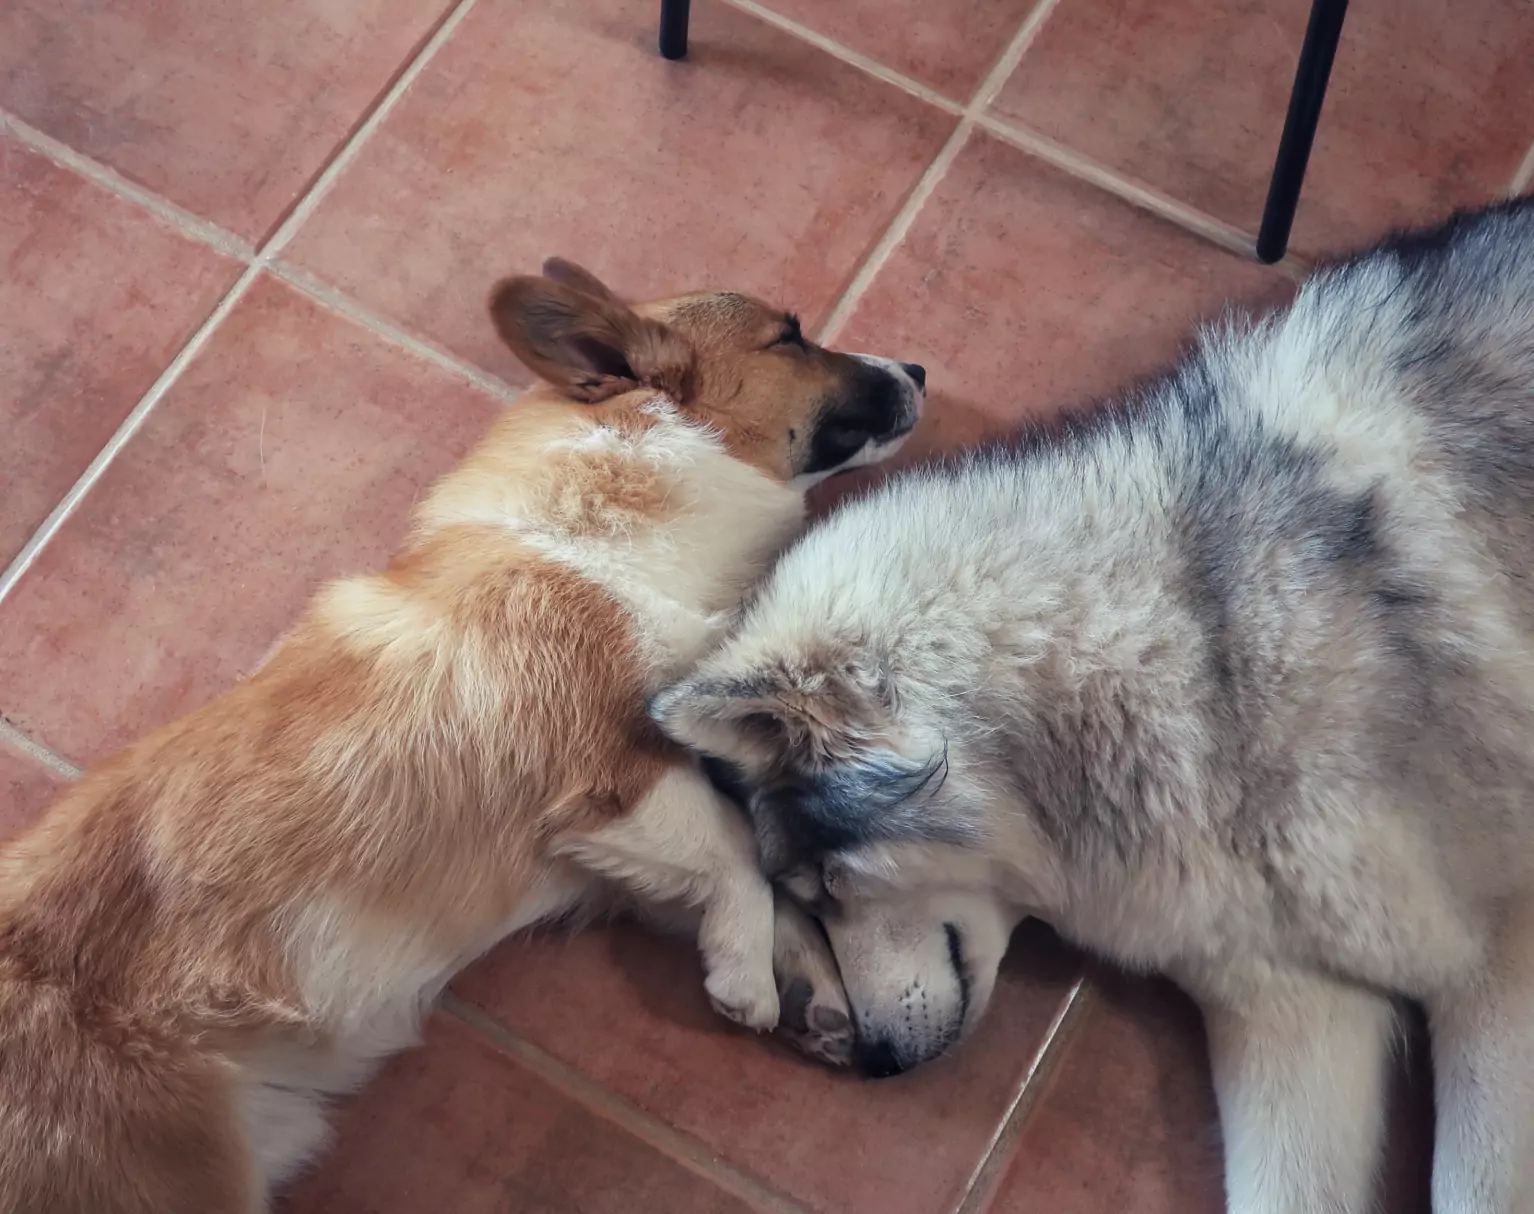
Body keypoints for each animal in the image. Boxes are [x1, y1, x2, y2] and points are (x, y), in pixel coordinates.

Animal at [0, 259, 920, 1214]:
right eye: (791, 336)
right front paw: (746, 977)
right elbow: (739, 851)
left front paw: (811, 986)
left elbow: (747, 872)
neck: (599, 532)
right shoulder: (611, 774)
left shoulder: (607, 848)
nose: (921, 372)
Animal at [653, 201, 1534, 1214]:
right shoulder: (1298, 1006)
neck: (1187, 653)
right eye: (804, 896)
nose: (874, 1063)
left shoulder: (1499, 970)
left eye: (828, 885)